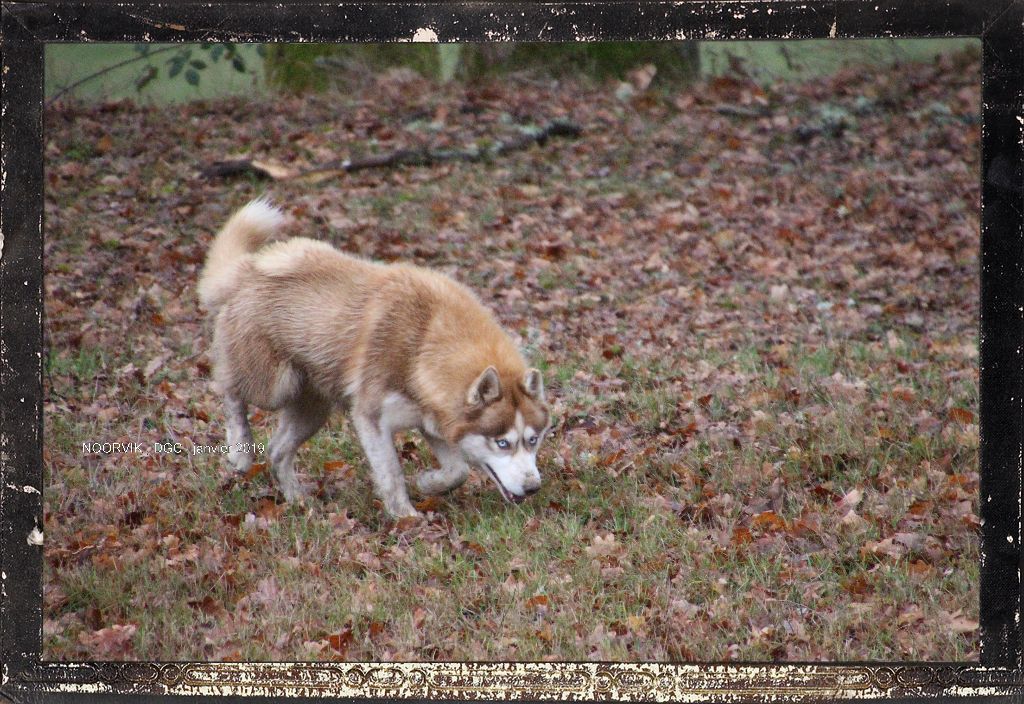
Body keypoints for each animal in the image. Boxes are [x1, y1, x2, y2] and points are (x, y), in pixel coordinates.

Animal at [199, 198, 552, 517]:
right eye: (503, 443)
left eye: (533, 440)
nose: (534, 487)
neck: (424, 343)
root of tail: (248, 268)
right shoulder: (371, 418)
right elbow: (392, 474)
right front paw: (406, 517)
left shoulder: (435, 422)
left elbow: (458, 471)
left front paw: (429, 483)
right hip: (274, 386)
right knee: (227, 388)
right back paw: (240, 449)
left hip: (313, 408)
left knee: (276, 451)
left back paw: (298, 500)